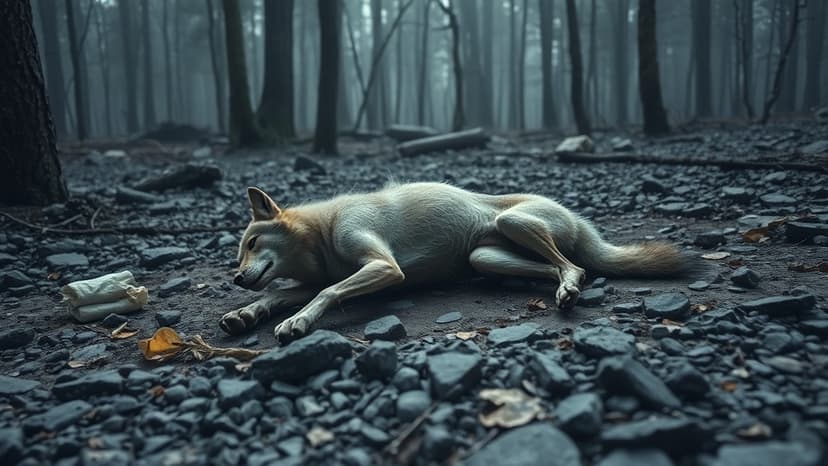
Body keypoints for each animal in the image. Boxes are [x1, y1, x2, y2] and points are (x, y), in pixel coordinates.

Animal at [220, 182, 690, 342]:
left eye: (253, 242)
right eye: (239, 252)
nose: (239, 278)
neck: (322, 232)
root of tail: (579, 218)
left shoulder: (384, 266)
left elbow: (328, 291)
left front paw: (297, 321)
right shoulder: (312, 279)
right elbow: (280, 296)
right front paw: (245, 314)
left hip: (514, 219)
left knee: (574, 265)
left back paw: (569, 288)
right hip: (486, 257)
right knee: (564, 269)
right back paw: (563, 291)